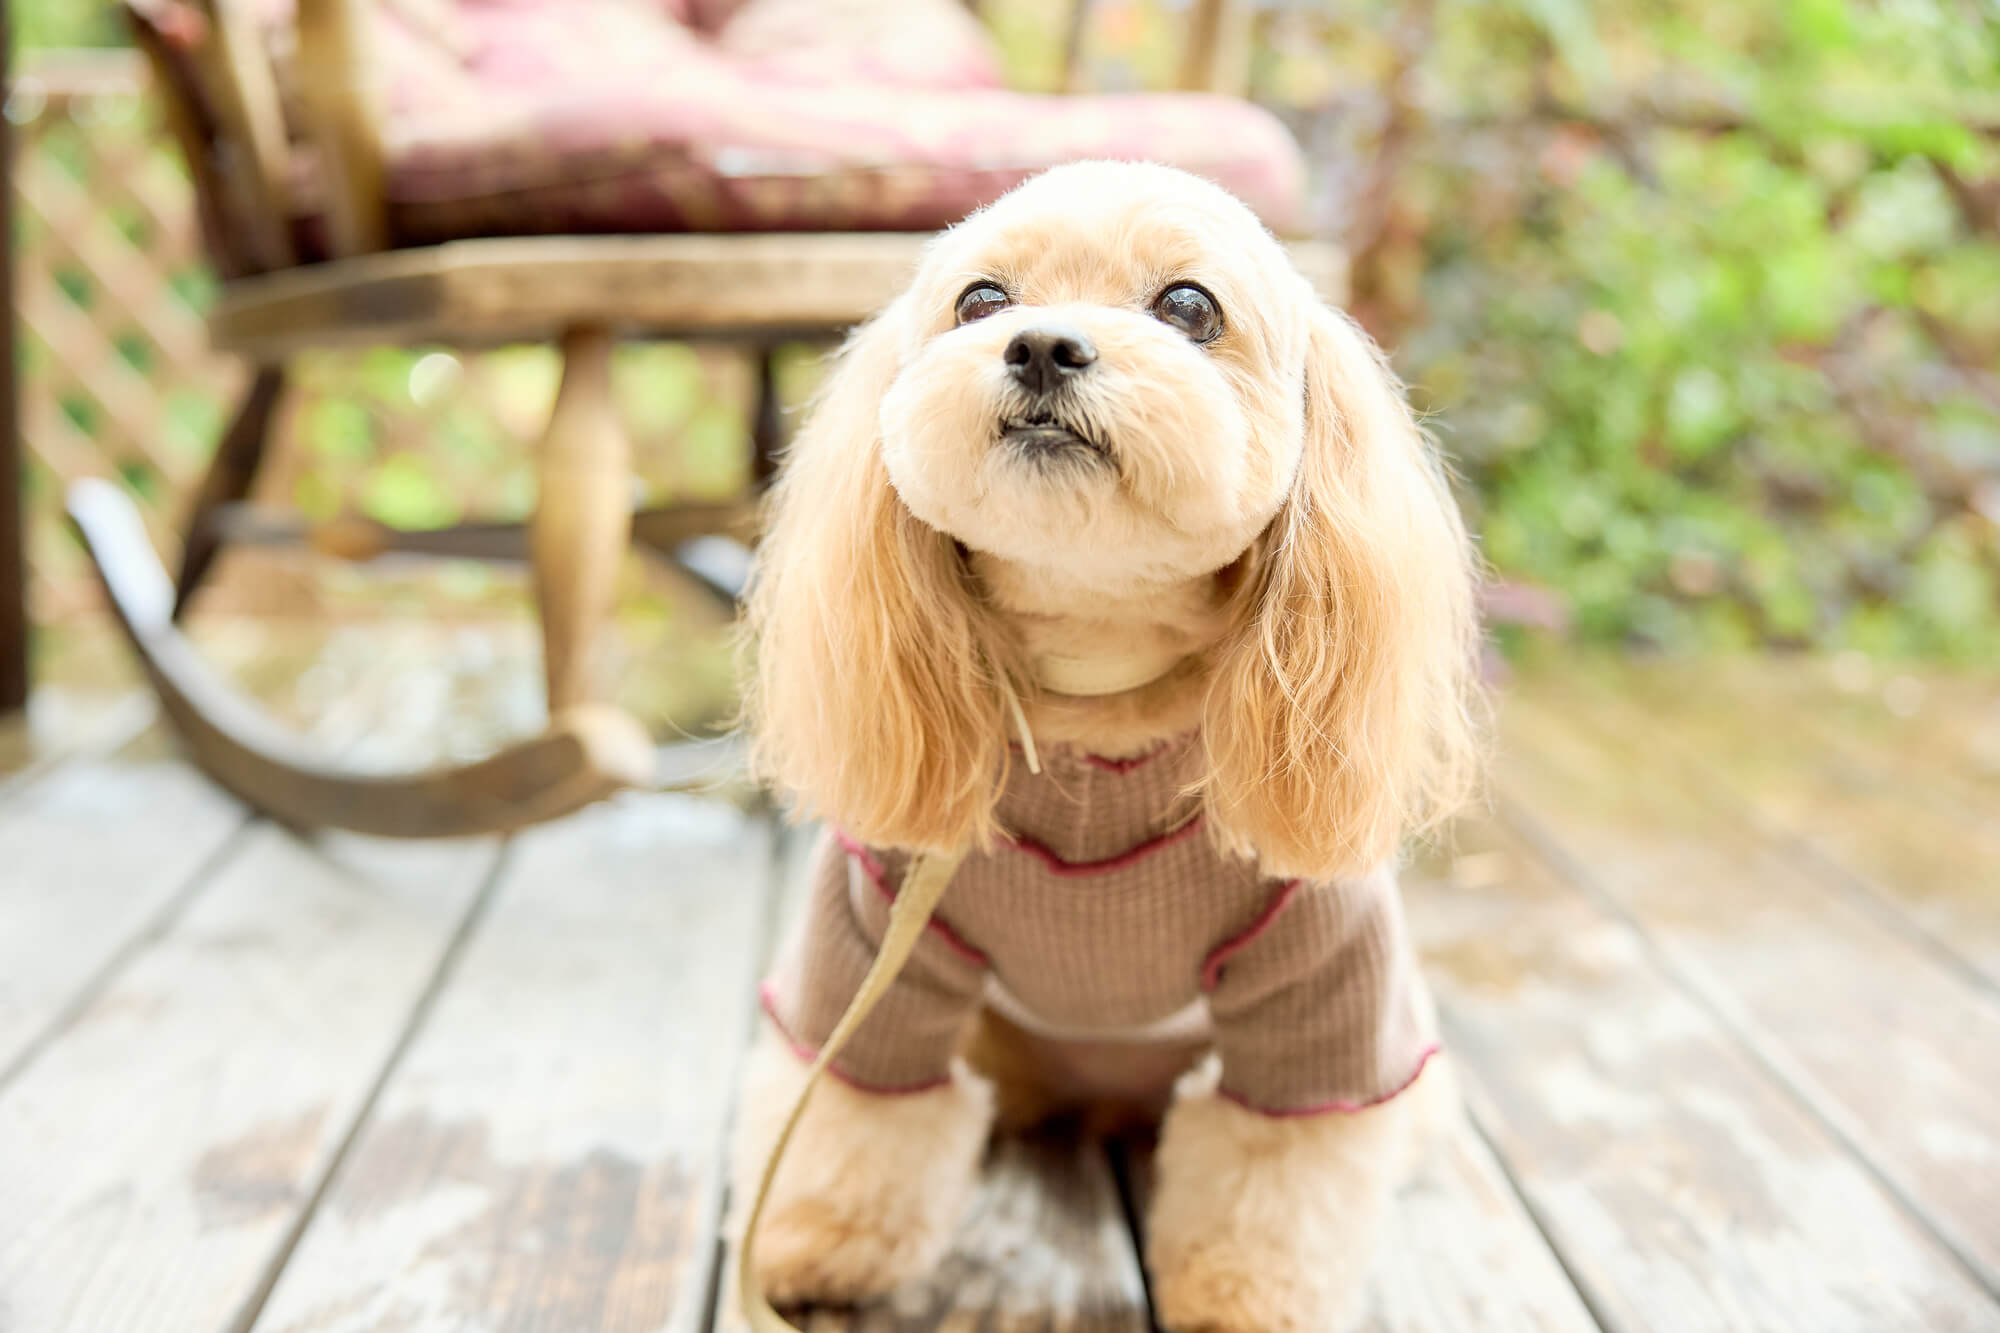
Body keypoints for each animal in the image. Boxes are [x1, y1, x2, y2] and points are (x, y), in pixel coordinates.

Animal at [736, 163, 1488, 1328]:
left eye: (1188, 306)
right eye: (980, 300)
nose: (1042, 345)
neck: (1098, 682)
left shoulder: (1322, 968)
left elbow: (1279, 1167)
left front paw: (1244, 1298)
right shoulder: (872, 919)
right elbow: (855, 1104)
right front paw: (815, 1241)